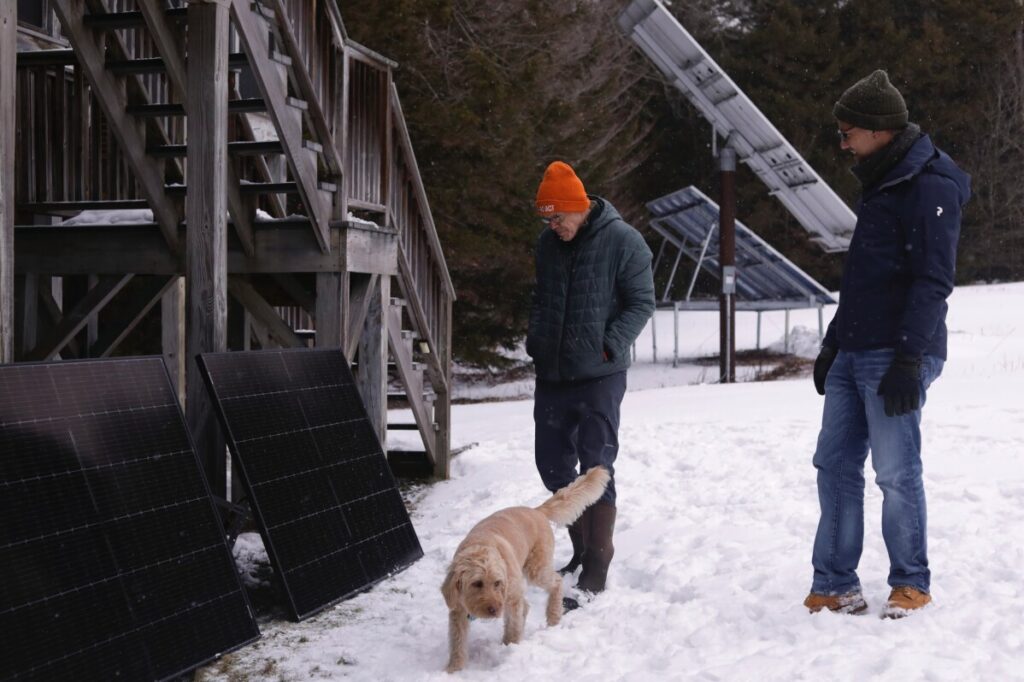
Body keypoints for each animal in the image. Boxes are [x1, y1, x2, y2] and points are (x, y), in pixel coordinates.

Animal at [440, 466, 610, 673]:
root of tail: (536, 511)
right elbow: (457, 641)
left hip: (536, 569)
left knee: (556, 583)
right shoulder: (457, 609)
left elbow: (513, 627)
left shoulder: (510, 598)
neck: (480, 546)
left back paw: (553, 616)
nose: (494, 609)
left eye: (497, 583)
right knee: (527, 605)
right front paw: (454, 668)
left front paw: (511, 649)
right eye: (477, 583)